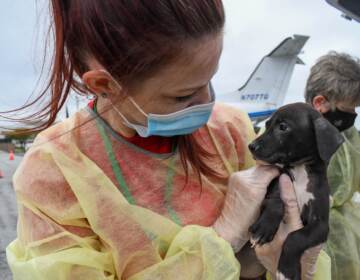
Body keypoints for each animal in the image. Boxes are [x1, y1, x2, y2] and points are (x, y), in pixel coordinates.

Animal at [248, 103, 344, 280]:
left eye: (283, 127)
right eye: (266, 125)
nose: (251, 146)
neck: (300, 171)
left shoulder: (321, 225)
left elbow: (296, 237)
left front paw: (287, 270)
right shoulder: (273, 190)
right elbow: (276, 200)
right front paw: (264, 227)